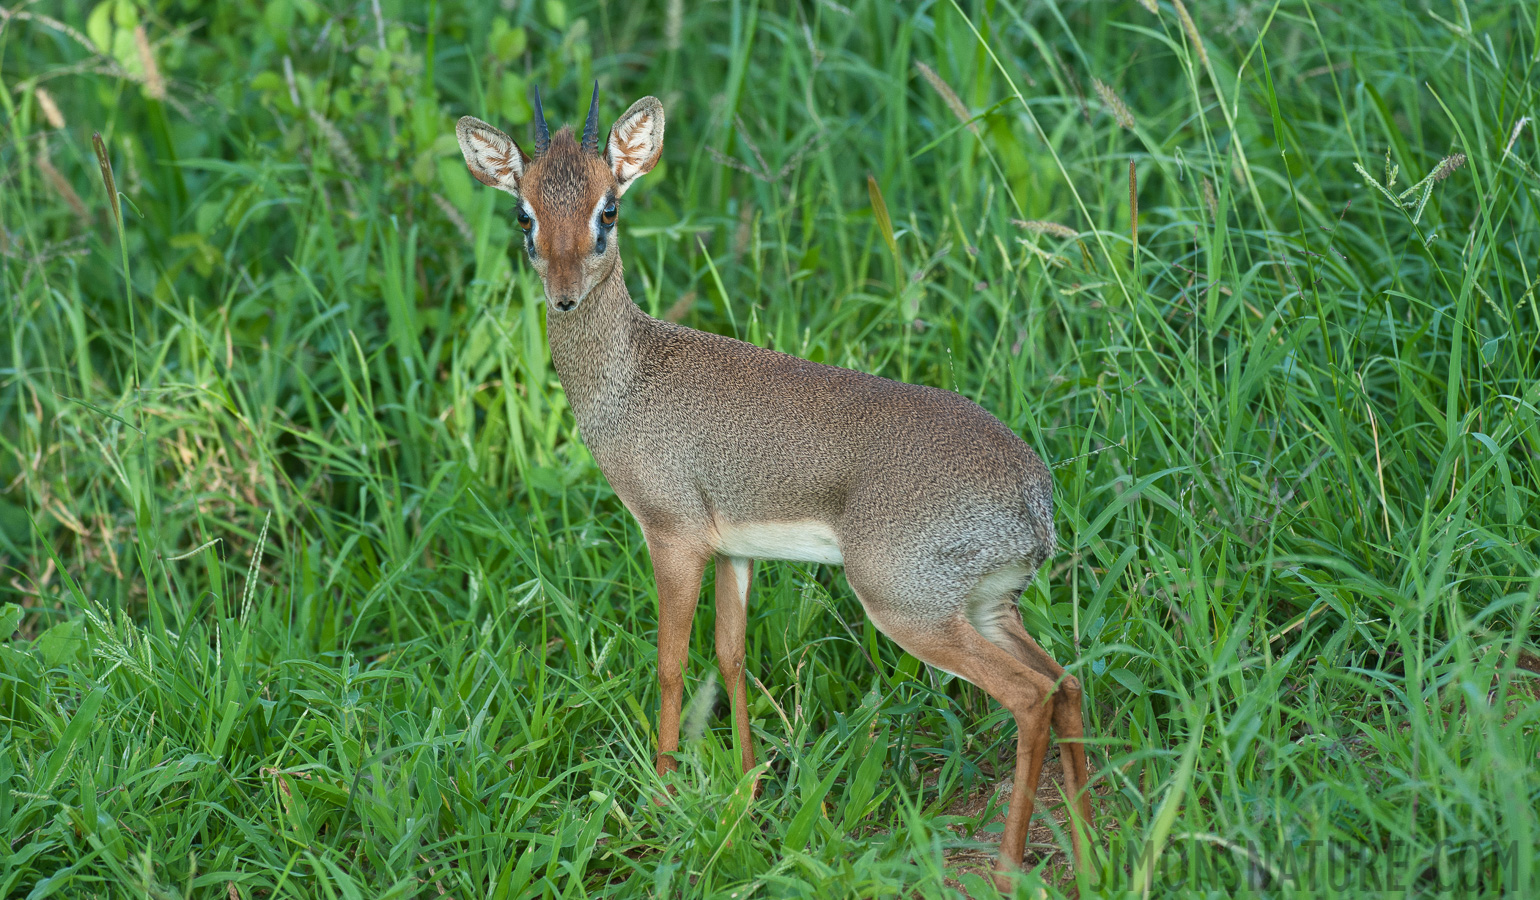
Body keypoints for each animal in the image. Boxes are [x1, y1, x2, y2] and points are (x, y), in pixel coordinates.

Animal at [455, 87, 1096, 881]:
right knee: (1067, 684)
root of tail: (1033, 498)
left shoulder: (672, 537)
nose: (565, 295)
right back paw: (1092, 852)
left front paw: (660, 801)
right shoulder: (735, 550)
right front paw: (745, 790)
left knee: (1031, 698)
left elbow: (670, 664)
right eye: (525, 213)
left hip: (907, 609)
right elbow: (731, 656)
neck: (630, 376)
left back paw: (1007, 867)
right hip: (986, 607)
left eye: (609, 210)